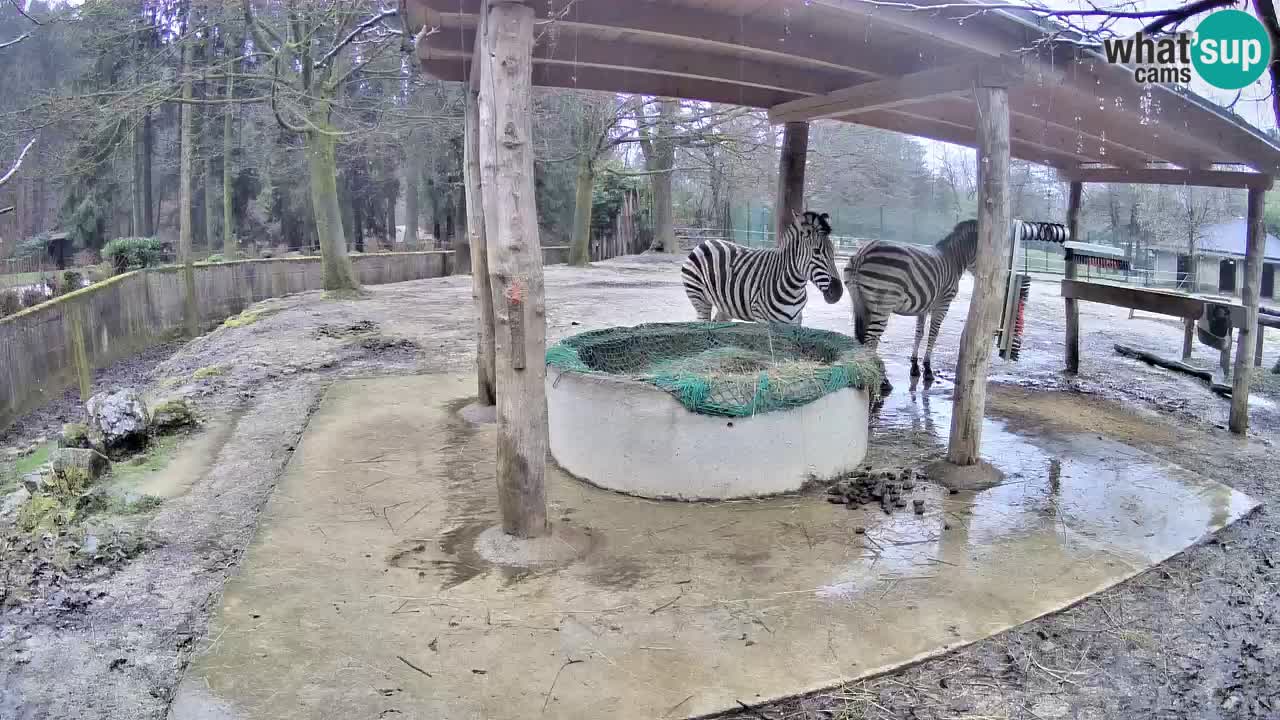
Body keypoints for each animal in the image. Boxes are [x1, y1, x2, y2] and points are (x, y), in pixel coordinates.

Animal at [675, 207, 844, 322]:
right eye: (816, 251)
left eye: (834, 251)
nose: (838, 292)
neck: (794, 287)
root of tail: (705, 242)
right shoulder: (762, 319)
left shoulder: (795, 321)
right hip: (699, 298)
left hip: (725, 305)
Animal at [844, 220, 1075, 381]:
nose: (1001, 277)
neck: (955, 259)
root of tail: (862, 252)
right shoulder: (943, 304)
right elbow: (933, 334)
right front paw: (927, 369)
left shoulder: (924, 306)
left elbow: (919, 334)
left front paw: (915, 366)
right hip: (882, 304)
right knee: (871, 340)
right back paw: (882, 381)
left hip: (861, 304)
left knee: (862, 339)